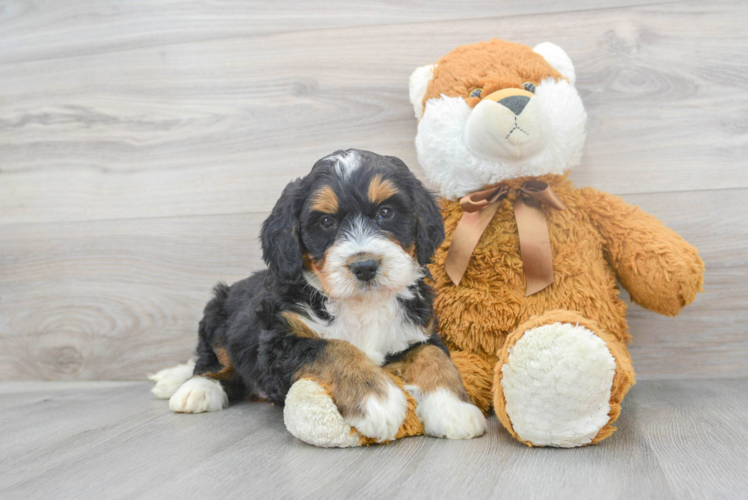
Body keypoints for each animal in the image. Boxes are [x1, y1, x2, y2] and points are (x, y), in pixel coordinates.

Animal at [150, 148, 488, 442]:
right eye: (326, 222)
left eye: (386, 213)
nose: (365, 266)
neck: (361, 304)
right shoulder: (279, 342)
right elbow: (334, 348)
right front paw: (377, 399)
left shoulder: (418, 331)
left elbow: (434, 357)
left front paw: (454, 408)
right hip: (217, 308)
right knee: (212, 359)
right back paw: (195, 388)